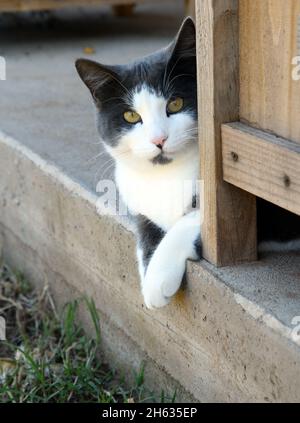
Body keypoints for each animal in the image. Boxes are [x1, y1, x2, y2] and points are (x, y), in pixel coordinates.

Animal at [77, 18, 300, 312]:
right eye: (131, 116)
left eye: (175, 103)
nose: (158, 139)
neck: (166, 175)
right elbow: (145, 229)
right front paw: (149, 267)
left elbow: (197, 217)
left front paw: (157, 279)